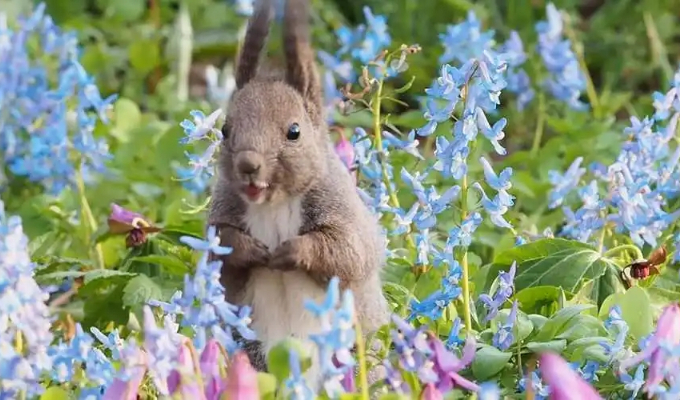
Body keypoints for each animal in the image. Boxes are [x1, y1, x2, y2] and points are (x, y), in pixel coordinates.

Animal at [205, 0, 390, 390]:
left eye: (294, 131)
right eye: (226, 130)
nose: (248, 165)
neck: (273, 204)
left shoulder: (341, 209)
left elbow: (348, 251)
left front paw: (292, 251)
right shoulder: (224, 211)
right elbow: (218, 245)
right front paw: (251, 250)